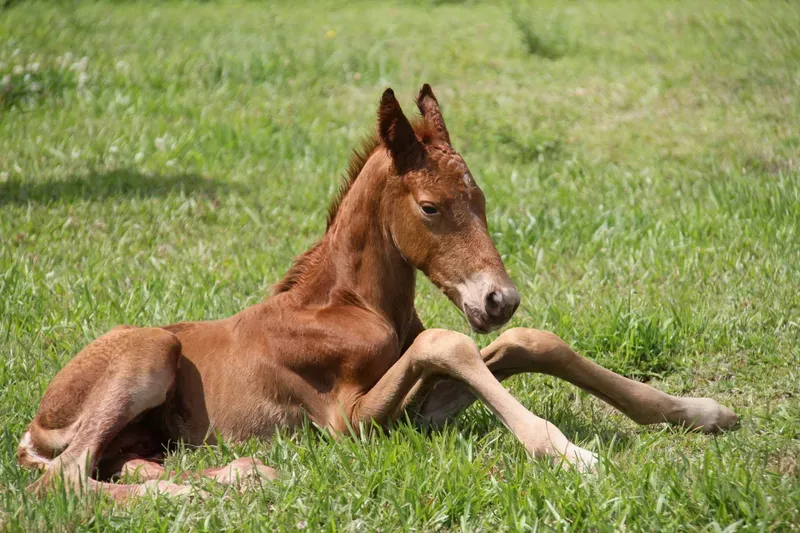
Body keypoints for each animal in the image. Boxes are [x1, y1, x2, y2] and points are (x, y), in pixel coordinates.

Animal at [17, 85, 739, 499]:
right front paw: (566, 450)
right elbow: (451, 343)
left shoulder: (410, 415)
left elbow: (521, 345)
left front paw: (698, 411)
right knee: (66, 479)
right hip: (150, 353)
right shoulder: (349, 421)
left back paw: (244, 476)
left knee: (121, 467)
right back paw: (219, 491)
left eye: (482, 198)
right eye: (430, 207)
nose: (499, 298)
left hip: (143, 439)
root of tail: (34, 421)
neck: (354, 308)